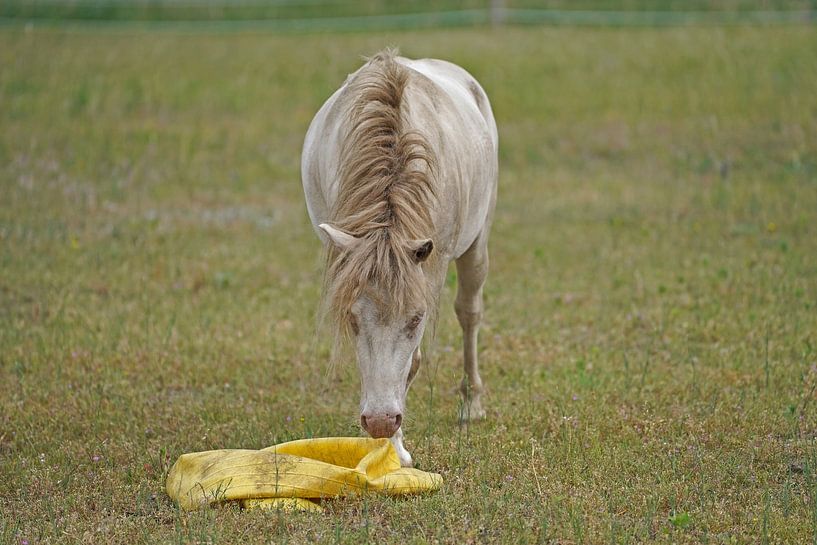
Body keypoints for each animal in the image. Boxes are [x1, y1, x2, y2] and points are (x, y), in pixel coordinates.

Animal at [301, 49, 498, 467]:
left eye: (417, 319)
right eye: (350, 318)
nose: (379, 421)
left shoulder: (432, 268)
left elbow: (413, 361)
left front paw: (394, 450)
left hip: (477, 244)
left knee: (470, 312)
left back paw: (471, 403)